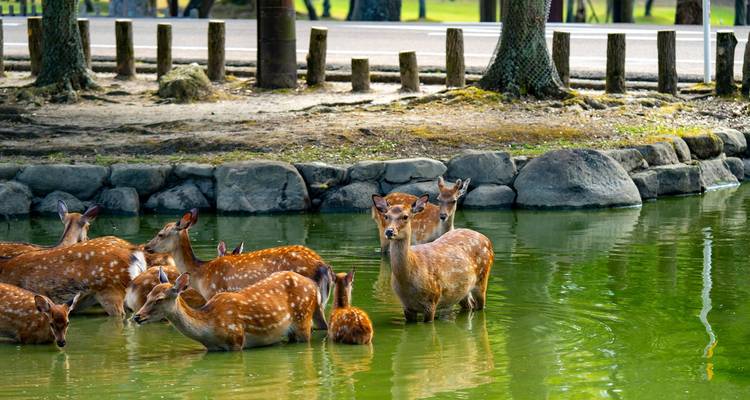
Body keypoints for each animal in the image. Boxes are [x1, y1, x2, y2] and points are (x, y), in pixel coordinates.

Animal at [132, 269, 328, 351]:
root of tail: (313, 286)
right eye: (148, 295)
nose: (137, 316)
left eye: (159, 299)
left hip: (303, 320)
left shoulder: (236, 339)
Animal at [372, 194, 494, 323]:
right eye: (386, 216)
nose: (389, 231)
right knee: (470, 305)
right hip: (462, 291)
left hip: (482, 278)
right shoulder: (406, 306)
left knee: (480, 305)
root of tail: (487, 239)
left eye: (405, 216)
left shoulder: (432, 299)